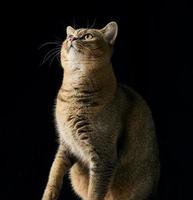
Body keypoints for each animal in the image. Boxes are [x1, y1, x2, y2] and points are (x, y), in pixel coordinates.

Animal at [41, 21, 159, 200]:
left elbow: (95, 191)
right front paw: (49, 195)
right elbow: (54, 172)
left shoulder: (103, 156)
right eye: (69, 36)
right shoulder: (65, 144)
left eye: (87, 36)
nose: (72, 38)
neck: (73, 96)